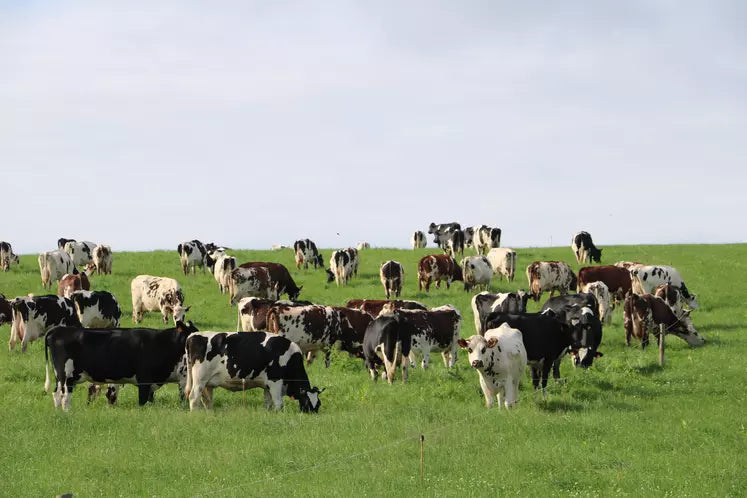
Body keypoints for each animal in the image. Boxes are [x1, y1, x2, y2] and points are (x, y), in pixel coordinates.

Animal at [44, 320, 200, 409]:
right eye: (192, 333)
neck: (162, 343)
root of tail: (58, 330)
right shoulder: (144, 380)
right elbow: (142, 402)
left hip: (61, 377)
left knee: (56, 394)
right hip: (66, 375)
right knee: (64, 395)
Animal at [184, 332, 323, 412]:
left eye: (318, 404)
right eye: (307, 402)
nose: (312, 415)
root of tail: (192, 336)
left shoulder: (267, 385)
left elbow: (268, 403)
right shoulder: (275, 381)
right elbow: (278, 403)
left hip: (207, 383)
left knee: (206, 399)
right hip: (199, 379)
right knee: (193, 397)